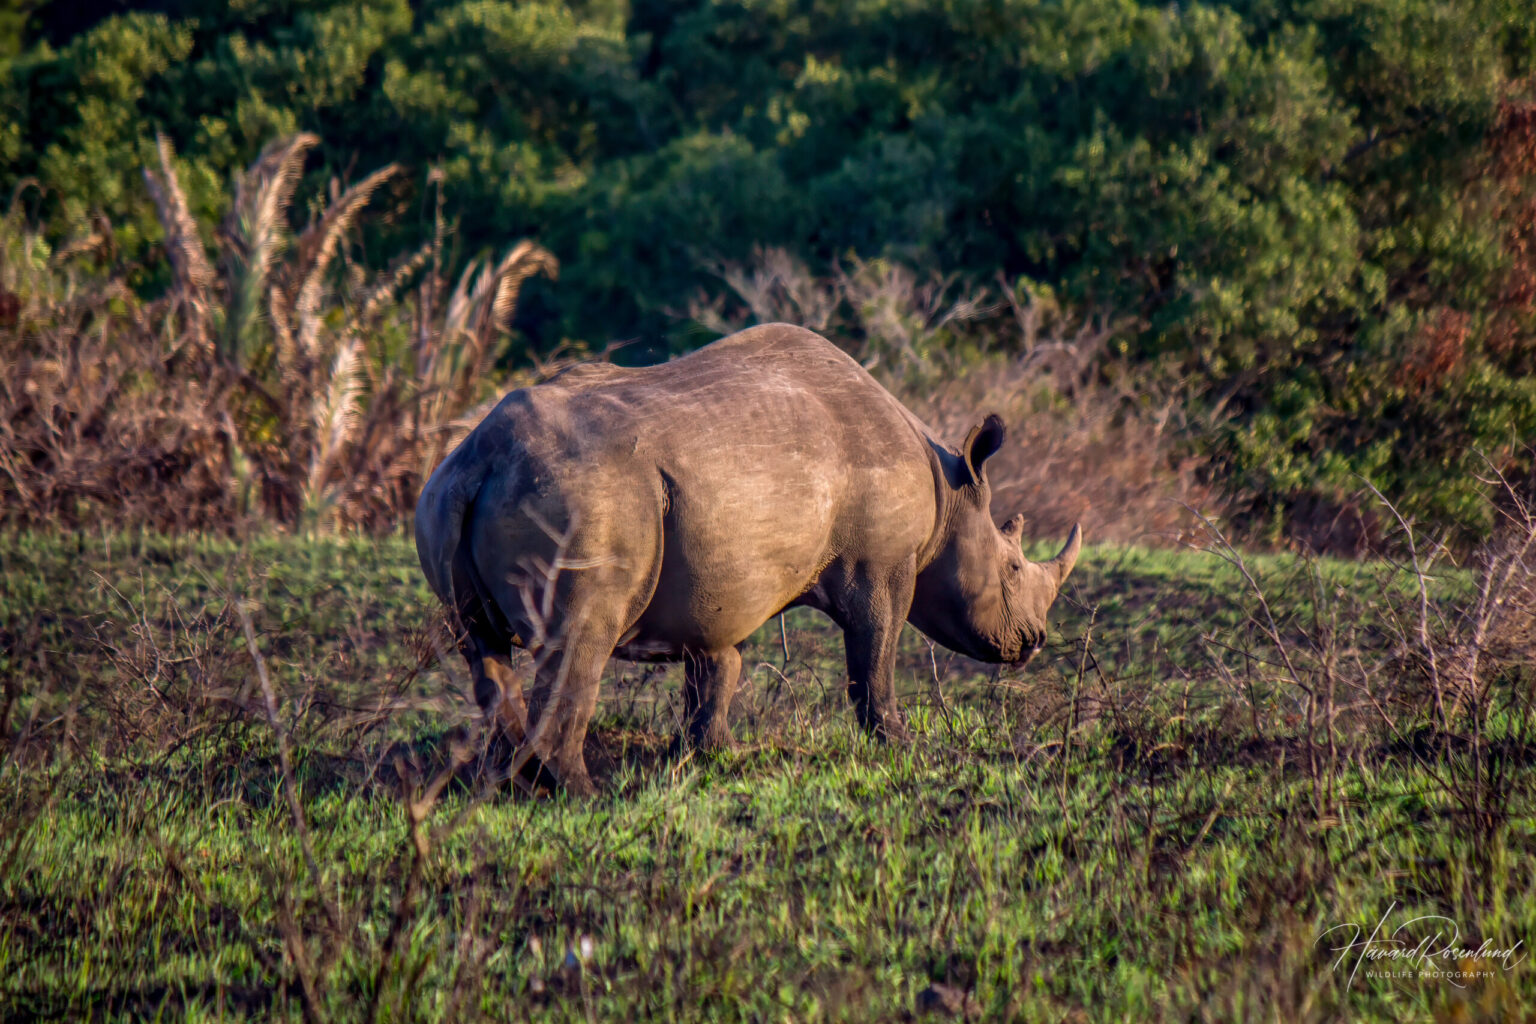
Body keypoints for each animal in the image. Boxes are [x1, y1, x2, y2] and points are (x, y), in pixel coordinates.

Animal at [416, 323, 1080, 794]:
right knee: (580, 639)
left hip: (447, 495)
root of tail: (482, 456)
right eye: (1012, 569)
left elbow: (717, 667)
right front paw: (901, 746)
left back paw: (510, 784)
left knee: (481, 645)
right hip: (584, 499)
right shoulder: (882, 566)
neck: (947, 493)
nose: (1034, 640)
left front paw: (715, 755)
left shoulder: (713, 582)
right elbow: (875, 655)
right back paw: (582, 792)